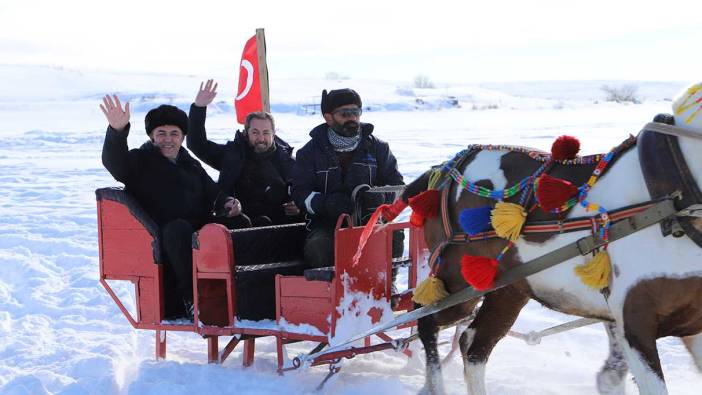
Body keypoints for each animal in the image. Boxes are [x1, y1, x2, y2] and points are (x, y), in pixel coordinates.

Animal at [408, 82, 702, 394]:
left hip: (508, 289)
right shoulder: (635, 323)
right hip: (455, 282)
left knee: (474, 345)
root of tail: (440, 172)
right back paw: (434, 385)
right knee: (426, 321)